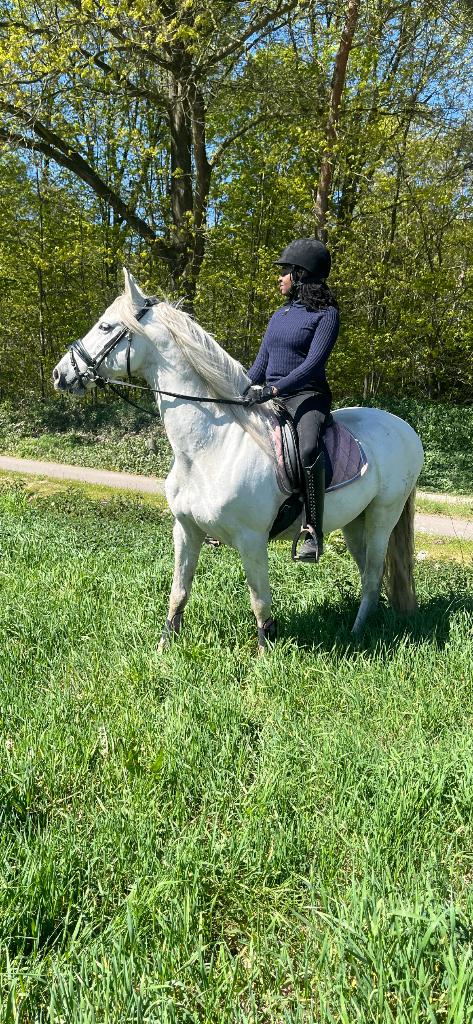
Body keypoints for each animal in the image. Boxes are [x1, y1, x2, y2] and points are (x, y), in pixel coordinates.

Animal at [52, 269, 424, 651]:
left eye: (106, 327)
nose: (60, 374)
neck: (208, 447)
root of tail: (404, 427)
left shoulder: (251, 539)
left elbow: (260, 601)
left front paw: (264, 654)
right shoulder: (185, 530)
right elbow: (179, 591)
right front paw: (163, 648)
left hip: (383, 515)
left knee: (373, 574)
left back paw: (356, 633)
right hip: (354, 521)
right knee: (368, 573)